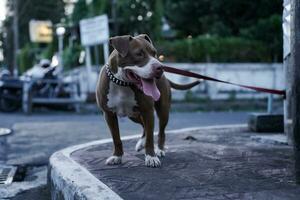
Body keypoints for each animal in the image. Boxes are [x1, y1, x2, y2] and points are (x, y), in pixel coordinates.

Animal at [96, 34, 199, 167]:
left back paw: (160, 149)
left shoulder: (148, 111)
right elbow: (116, 138)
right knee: (143, 125)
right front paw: (116, 156)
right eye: (139, 54)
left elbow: (150, 137)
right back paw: (141, 143)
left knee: (161, 131)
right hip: (133, 115)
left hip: (163, 111)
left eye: (154, 53)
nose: (161, 67)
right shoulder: (109, 114)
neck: (122, 84)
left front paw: (151, 157)